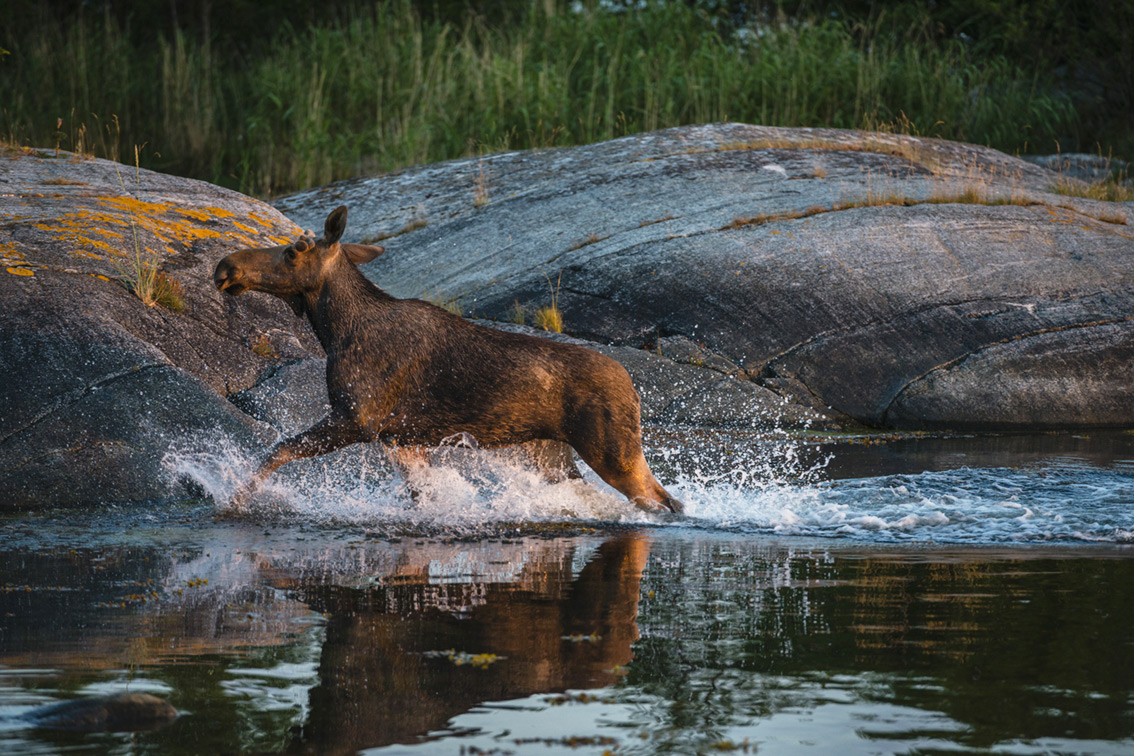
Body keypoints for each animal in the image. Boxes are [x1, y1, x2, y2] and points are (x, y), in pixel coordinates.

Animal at [214, 207, 680, 514]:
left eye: (294, 251)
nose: (225, 265)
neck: (335, 330)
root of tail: (633, 387)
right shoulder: (402, 439)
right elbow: (424, 498)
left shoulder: (358, 418)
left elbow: (277, 451)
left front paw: (233, 500)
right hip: (553, 456)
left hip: (613, 449)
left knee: (664, 501)